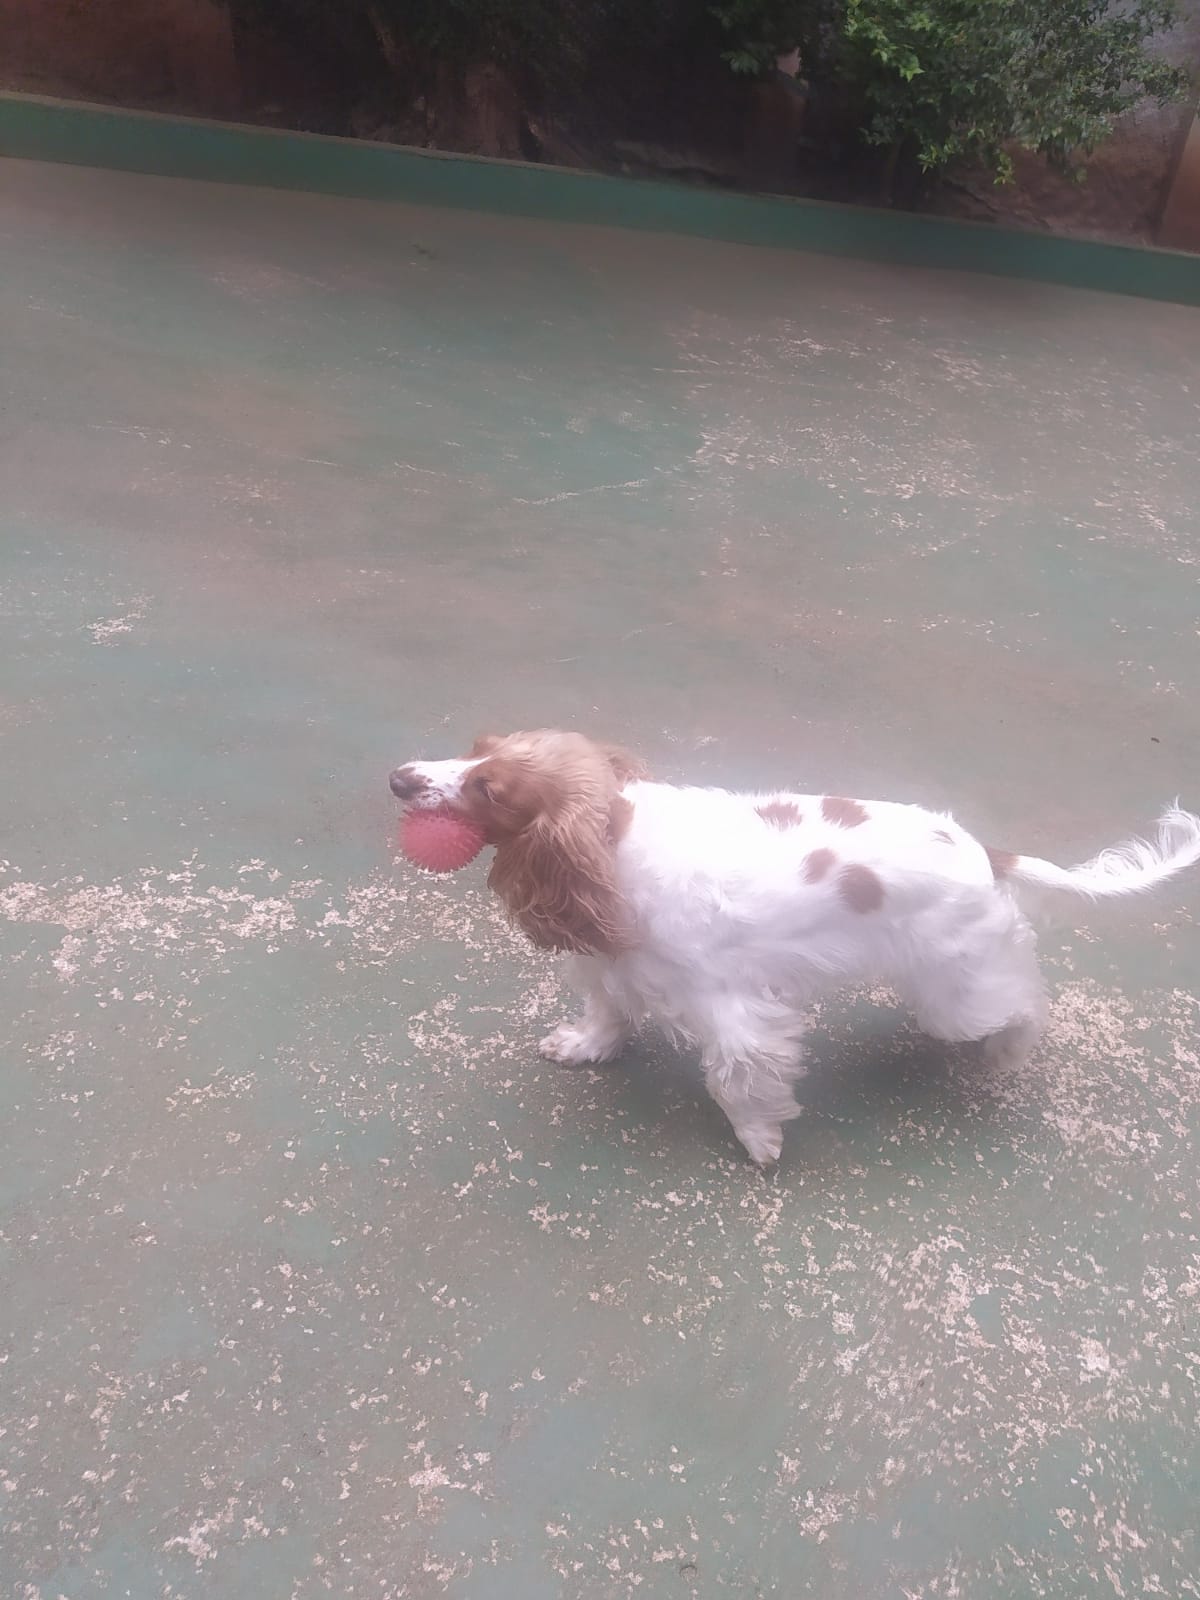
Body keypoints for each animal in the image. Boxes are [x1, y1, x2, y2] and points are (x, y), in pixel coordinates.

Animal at [389, 730, 1200, 1164]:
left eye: (489, 788)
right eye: (476, 750)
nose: (399, 778)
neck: (611, 836)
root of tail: (987, 853)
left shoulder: (730, 1008)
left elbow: (736, 1080)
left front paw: (759, 1141)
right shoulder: (614, 962)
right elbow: (607, 1014)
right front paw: (585, 1046)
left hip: (960, 992)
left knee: (1026, 1000)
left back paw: (1006, 1052)